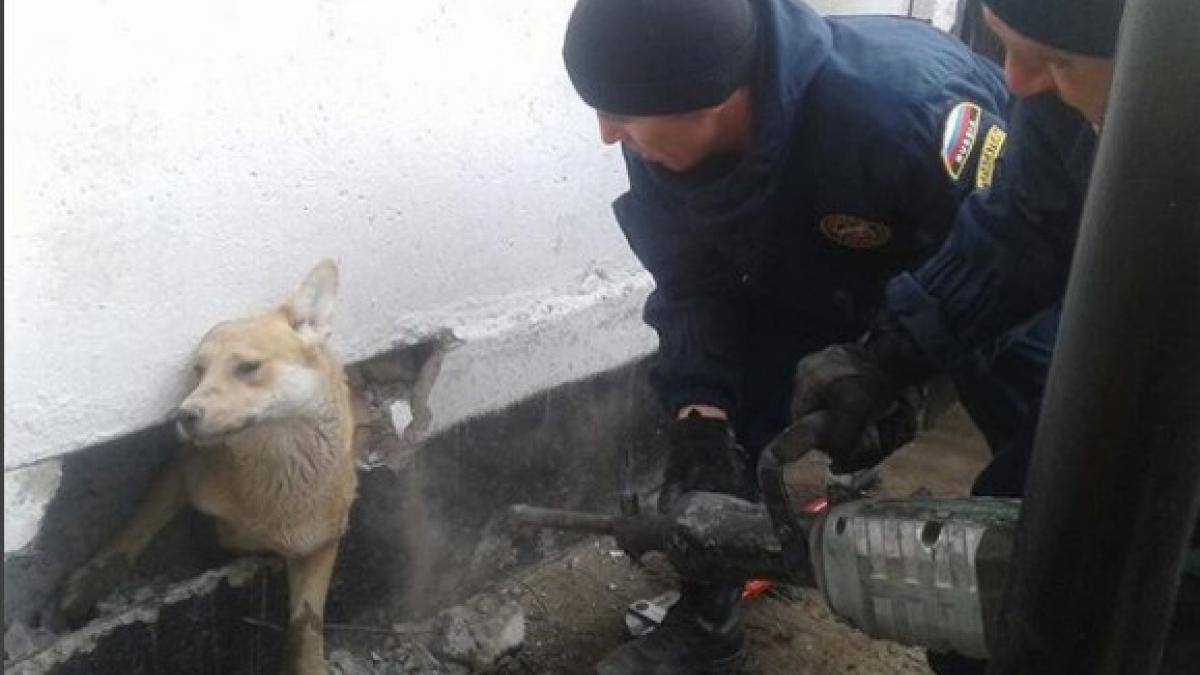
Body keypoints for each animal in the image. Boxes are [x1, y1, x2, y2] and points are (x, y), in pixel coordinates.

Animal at [59, 261, 355, 672]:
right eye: (199, 371)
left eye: (248, 367)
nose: (182, 416)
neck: (275, 475)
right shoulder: (183, 469)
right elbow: (140, 522)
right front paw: (94, 578)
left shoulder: (323, 541)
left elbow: (306, 624)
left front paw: (309, 663)